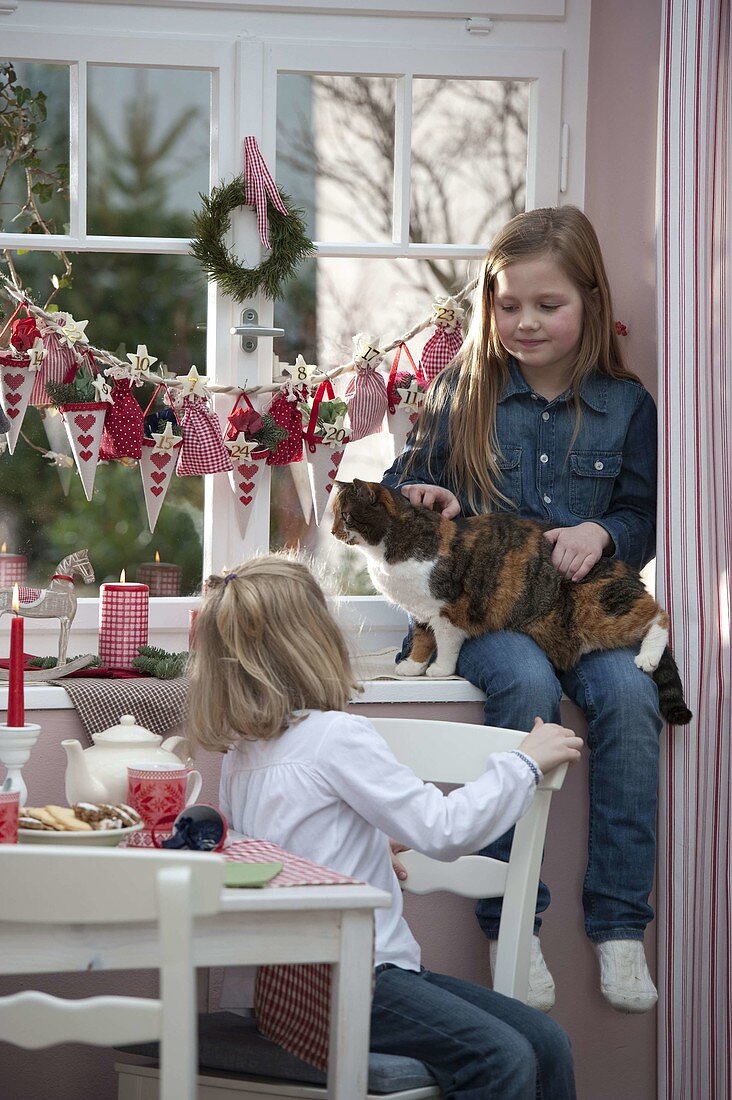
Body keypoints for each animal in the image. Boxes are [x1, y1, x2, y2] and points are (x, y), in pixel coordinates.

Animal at [330, 477, 691, 726]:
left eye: (345, 515)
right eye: (334, 515)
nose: (332, 532)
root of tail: (624, 570)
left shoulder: (448, 610)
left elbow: (444, 643)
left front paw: (439, 670)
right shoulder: (420, 611)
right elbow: (421, 639)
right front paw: (414, 666)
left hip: (599, 613)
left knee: (659, 614)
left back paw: (647, 657)